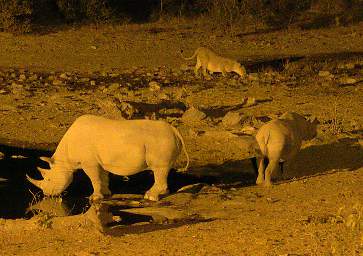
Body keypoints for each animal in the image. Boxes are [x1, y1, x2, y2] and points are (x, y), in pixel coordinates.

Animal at [27, 115, 189, 201]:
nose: (47, 194)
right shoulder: (100, 161)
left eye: (48, 179)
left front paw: (94, 198)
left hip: (160, 141)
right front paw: (105, 194)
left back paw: (150, 197)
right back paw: (161, 194)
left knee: (159, 169)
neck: (65, 159)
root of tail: (174, 130)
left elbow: (94, 178)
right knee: (162, 170)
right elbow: (102, 177)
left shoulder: (89, 163)